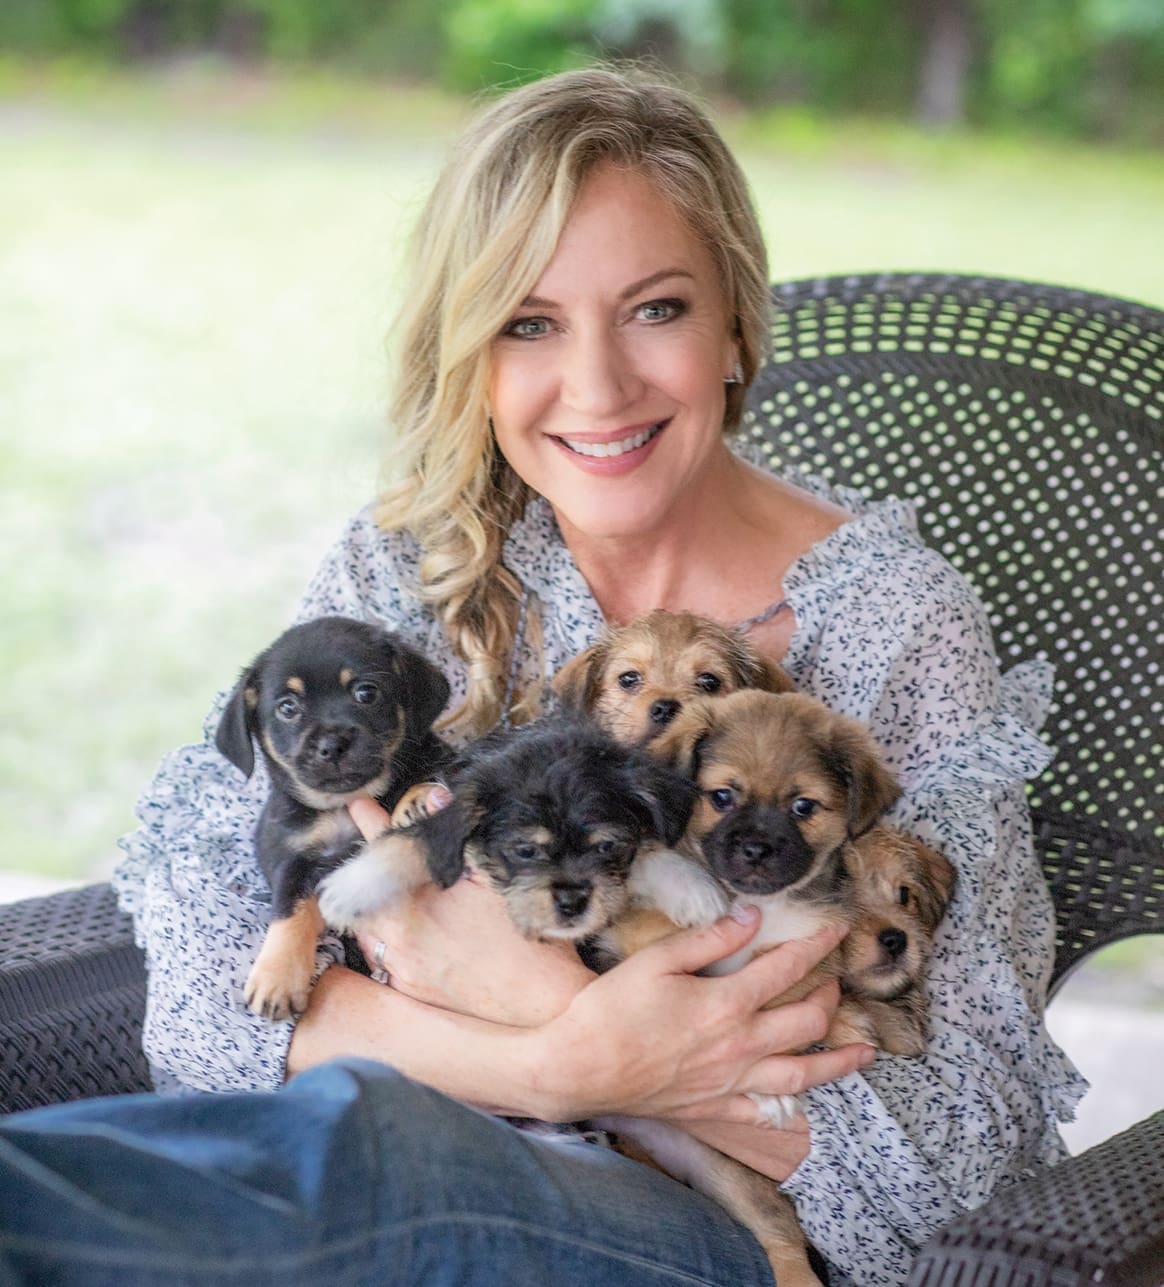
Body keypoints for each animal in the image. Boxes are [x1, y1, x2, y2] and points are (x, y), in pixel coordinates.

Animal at [215, 615, 453, 1021]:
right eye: (288, 707)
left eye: (366, 693)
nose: (332, 745)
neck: (343, 805)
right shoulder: (293, 861)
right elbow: (289, 912)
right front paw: (277, 978)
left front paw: (417, 798)